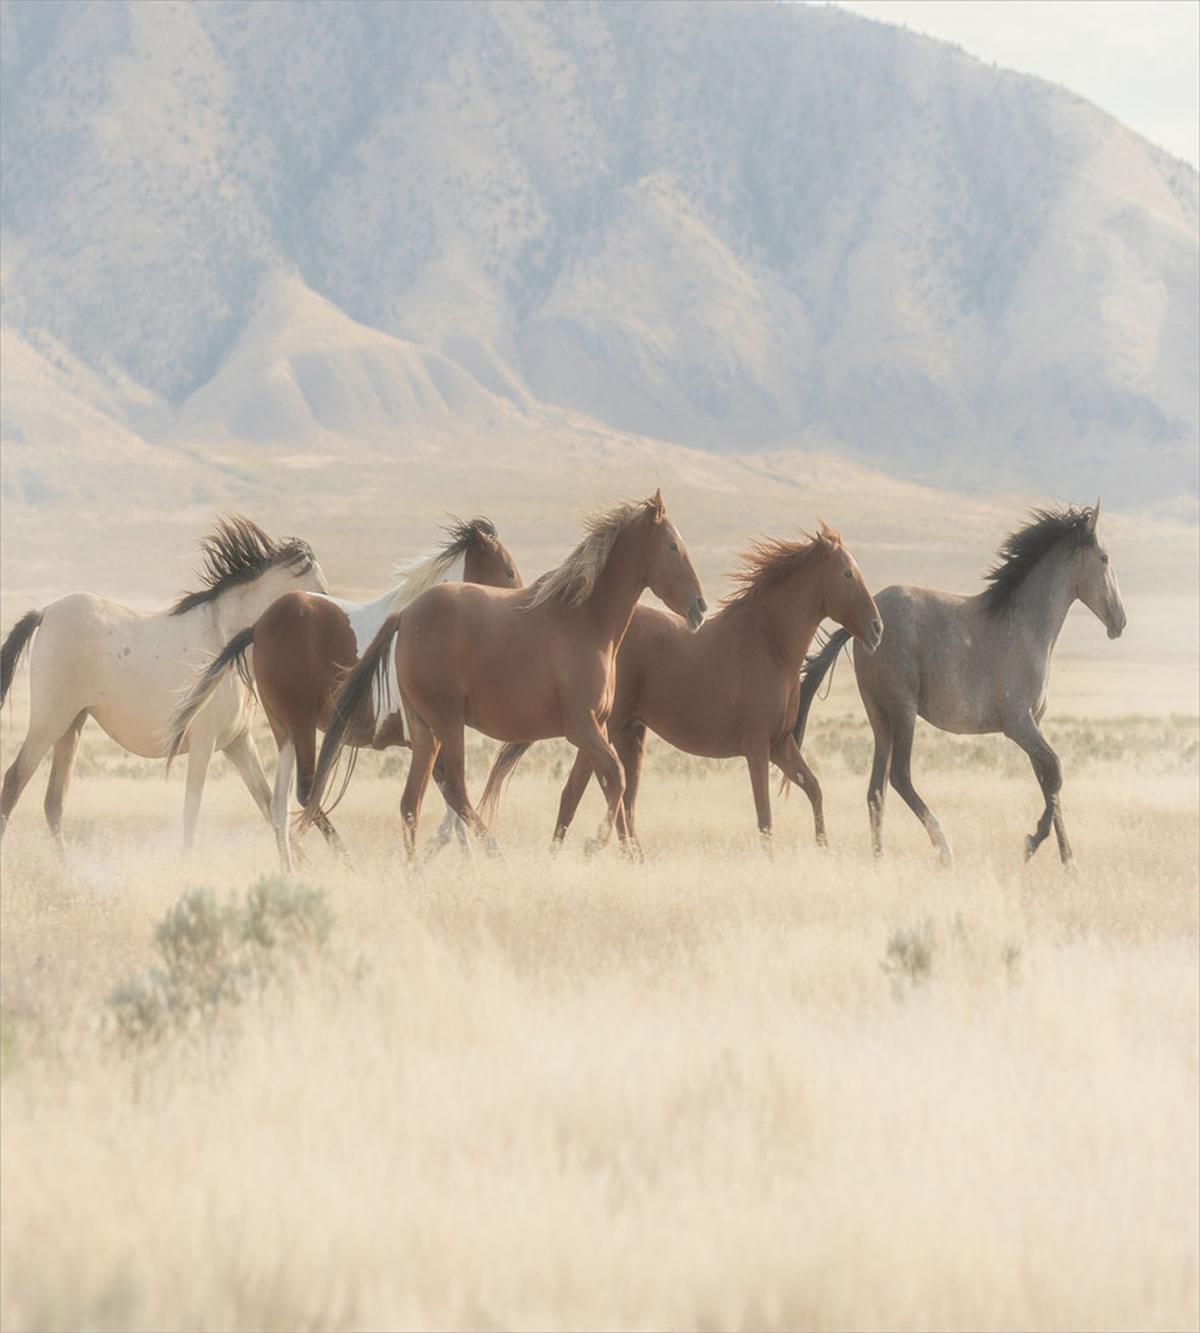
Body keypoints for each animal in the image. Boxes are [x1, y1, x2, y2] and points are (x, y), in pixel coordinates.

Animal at [0, 515, 327, 855]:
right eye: (320, 592)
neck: (225, 639)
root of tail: (46, 612)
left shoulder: (238, 743)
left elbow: (269, 807)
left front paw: (299, 863)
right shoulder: (204, 743)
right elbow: (191, 817)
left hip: (71, 725)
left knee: (54, 801)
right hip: (49, 722)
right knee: (13, 783)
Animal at [165, 517, 521, 872]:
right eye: (508, 571)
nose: (518, 609)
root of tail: (259, 627)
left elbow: (452, 805)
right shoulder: (430, 735)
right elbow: (451, 800)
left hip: (284, 731)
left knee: (278, 806)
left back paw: (291, 869)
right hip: (301, 724)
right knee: (306, 792)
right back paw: (344, 860)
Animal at [302, 490, 706, 859]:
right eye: (673, 547)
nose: (700, 608)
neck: (585, 621)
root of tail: (405, 614)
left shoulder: (600, 725)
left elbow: (584, 791)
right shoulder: (582, 727)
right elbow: (615, 778)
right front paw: (595, 843)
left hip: (424, 730)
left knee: (410, 803)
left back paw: (414, 871)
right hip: (448, 722)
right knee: (456, 789)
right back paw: (492, 850)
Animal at [478, 523, 883, 854]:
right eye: (848, 573)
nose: (877, 628)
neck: (768, 643)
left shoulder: (780, 745)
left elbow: (813, 789)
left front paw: (823, 850)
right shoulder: (757, 747)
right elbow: (765, 815)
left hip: (628, 734)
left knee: (620, 802)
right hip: (601, 730)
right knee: (578, 794)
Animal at [793, 502, 1126, 868]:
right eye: (1105, 558)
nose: (1120, 622)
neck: (1025, 626)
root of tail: (867, 624)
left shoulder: (1034, 724)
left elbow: (1048, 783)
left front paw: (1068, 861)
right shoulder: (1019, 724)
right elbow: (1055, 772)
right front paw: (1033, 843)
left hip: (879, 716)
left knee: (876, 790)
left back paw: (879, 860)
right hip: (903, 711)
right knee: (900, 776)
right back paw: (943, 847)